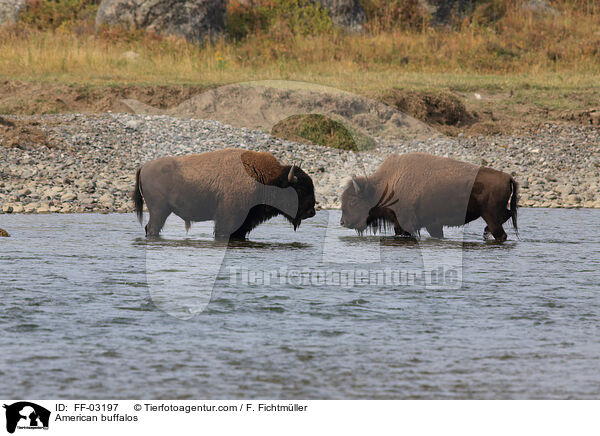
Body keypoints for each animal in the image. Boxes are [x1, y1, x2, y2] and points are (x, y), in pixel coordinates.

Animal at [133, 149, 316, 238]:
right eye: (300, 189)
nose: (311, 212)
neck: (266, 180)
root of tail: (144, 167)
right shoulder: (228, 220)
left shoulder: (245, 223)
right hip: (159, 211)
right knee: (152, 228)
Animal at [340, 152, 516, 242]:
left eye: (353, 201)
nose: (343, 222)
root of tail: (508, 177)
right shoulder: (432, 225)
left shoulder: (405, 225)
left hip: (490, 215)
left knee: (500, 232)